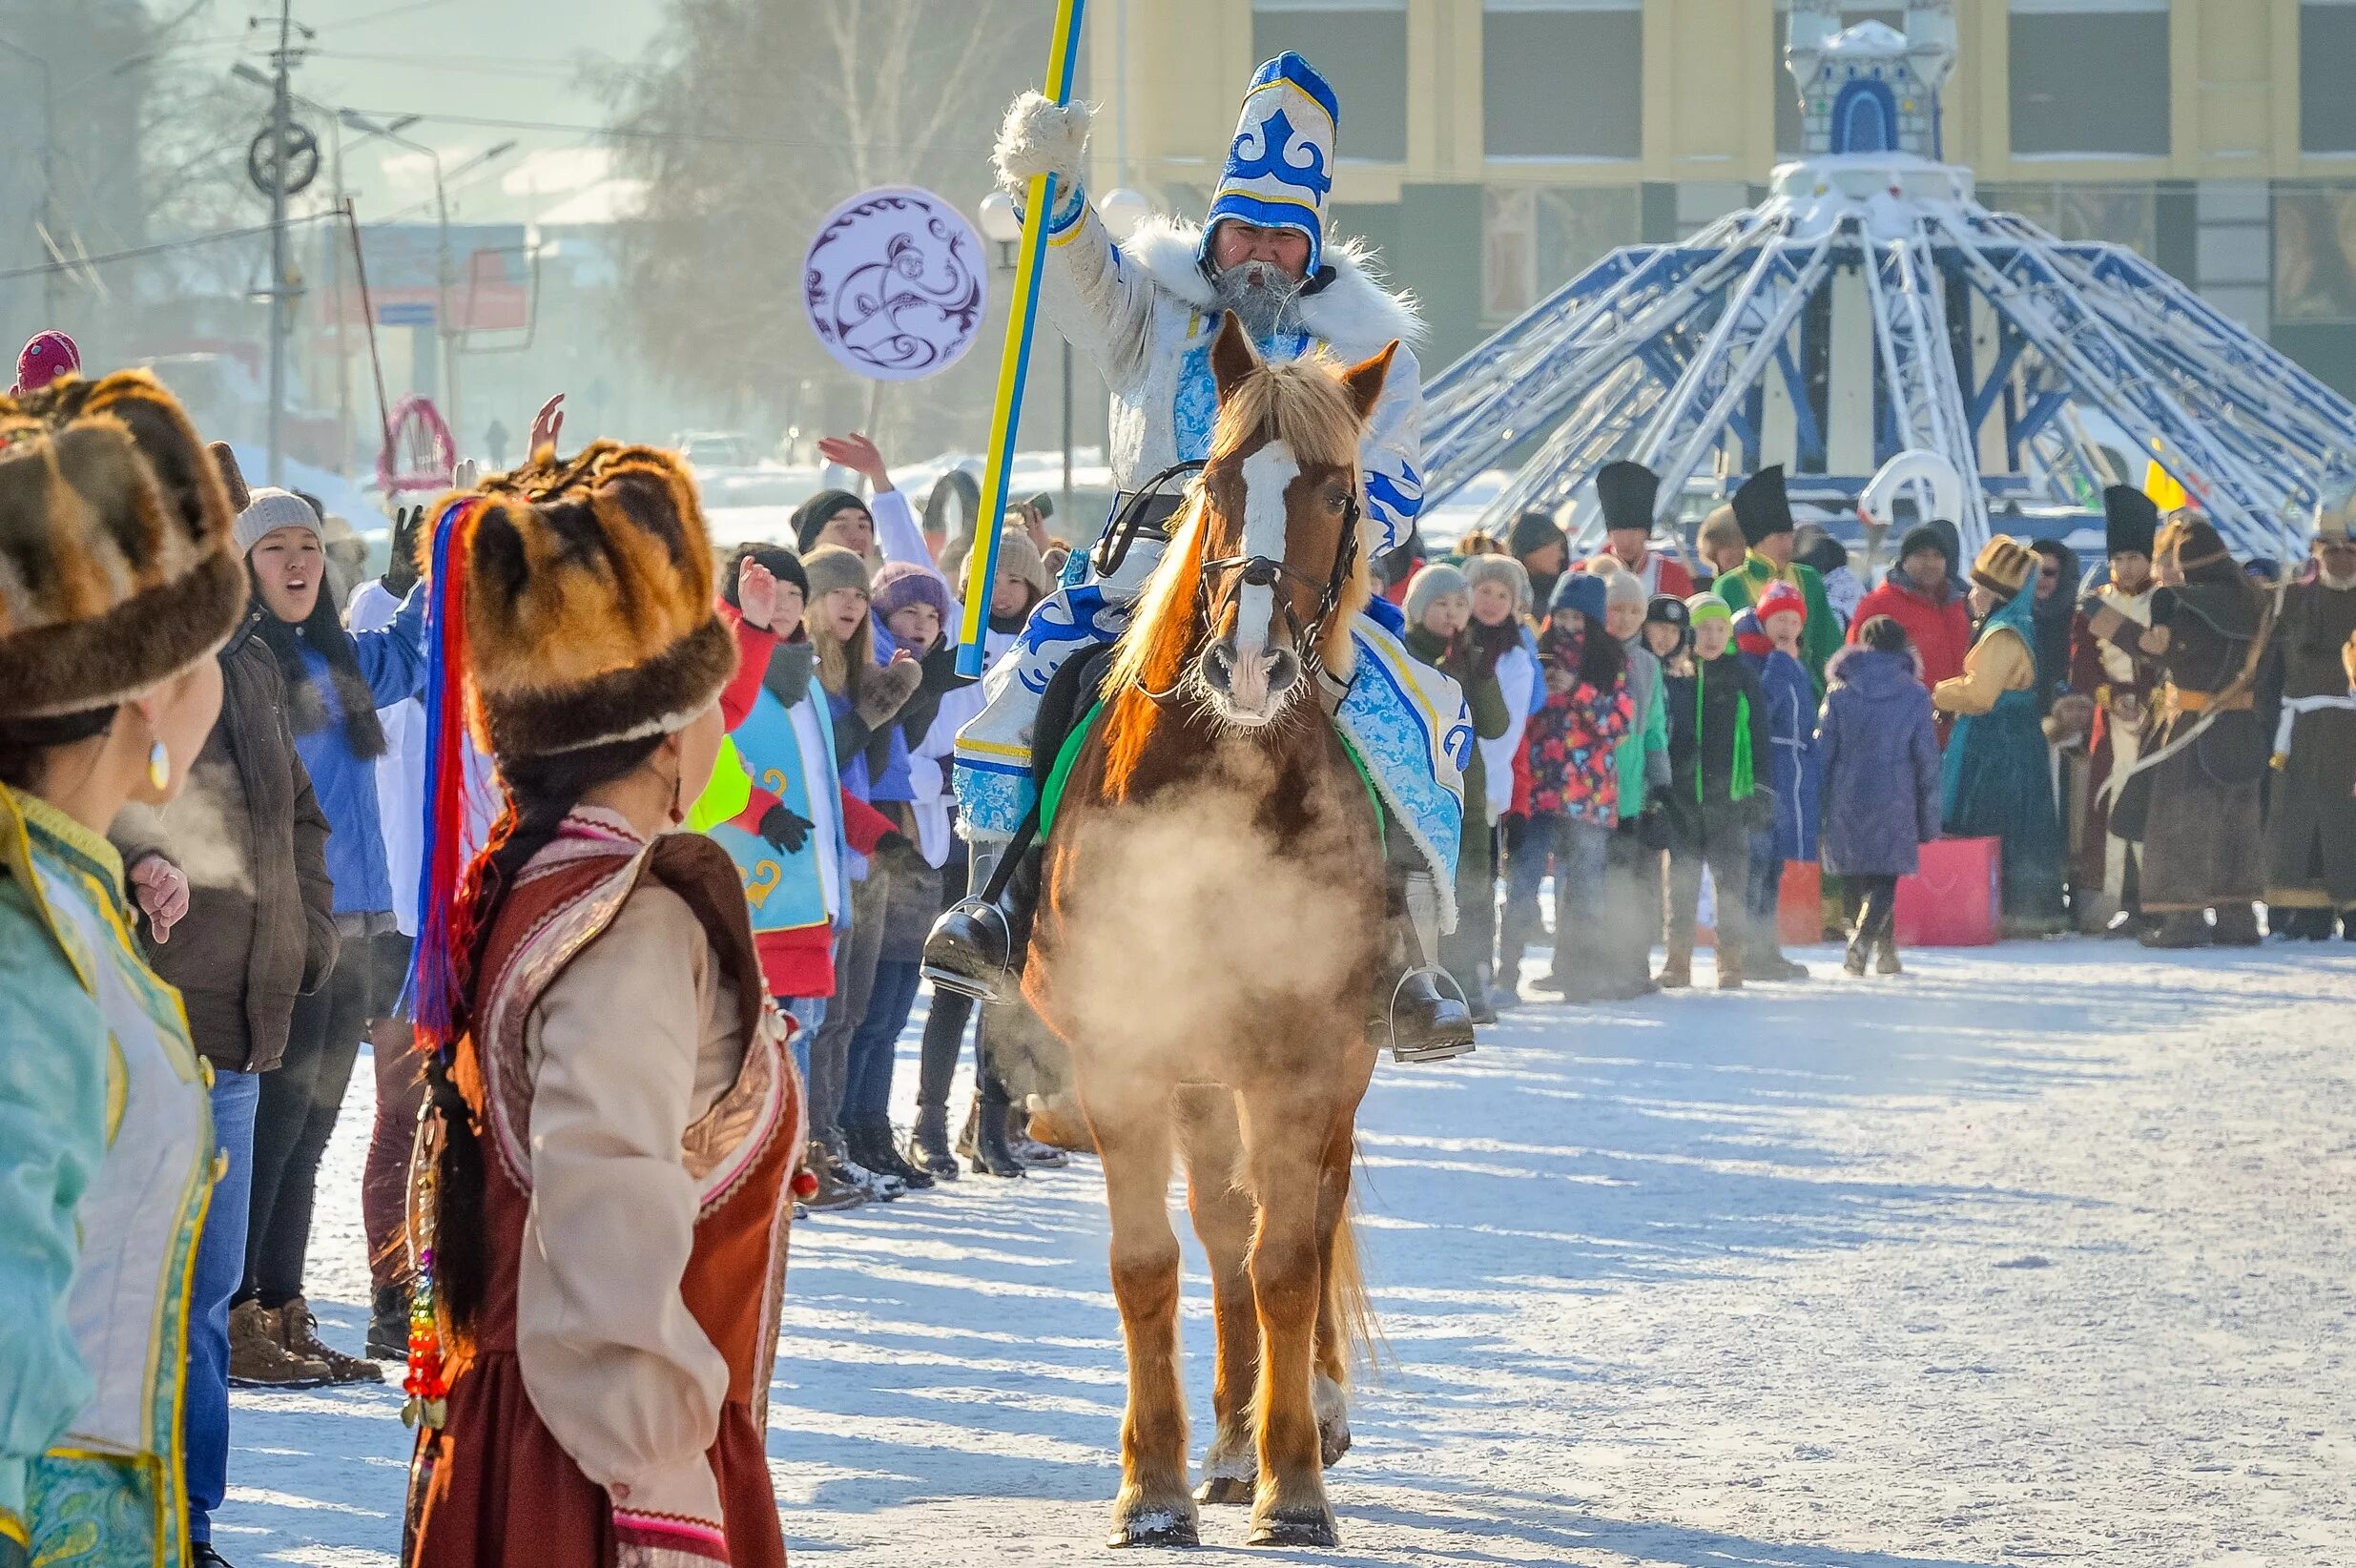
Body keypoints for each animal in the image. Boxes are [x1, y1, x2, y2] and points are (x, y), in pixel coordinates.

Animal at [1022, 310, 1385, 1544]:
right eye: (1221, 482)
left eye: (1338, 491)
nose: (1251, 662)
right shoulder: (1126, 1051)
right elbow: (1149, 1261)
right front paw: (1155, 1488)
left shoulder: (1306, 1056)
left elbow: (1289, 1261)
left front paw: (1296, 1485)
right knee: (1224, 1220)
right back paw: (1226, 1441)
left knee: (1303, 1218)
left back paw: (1295, 1416)